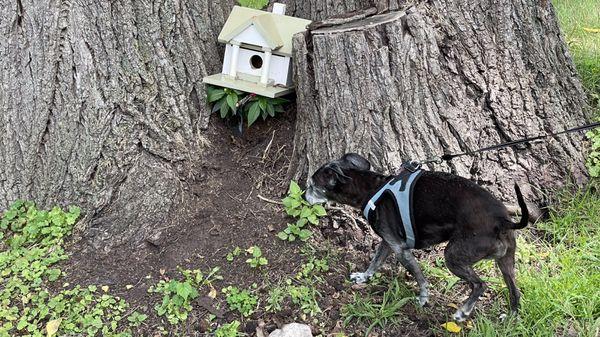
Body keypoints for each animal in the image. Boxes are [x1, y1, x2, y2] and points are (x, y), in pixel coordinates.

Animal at [308, 153, 528, 320]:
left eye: (312, 186)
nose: (303, 195)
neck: (371, 189)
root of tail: (502, 221)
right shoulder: (387, 242)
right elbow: (375, 262)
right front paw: (364, 276)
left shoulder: (400, 250)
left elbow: (420, 278)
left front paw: (423, 298)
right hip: (506, 261)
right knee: (515, 291)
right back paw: (511, 317)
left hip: (454, 256)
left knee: (480, 284)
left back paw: (463, 311)